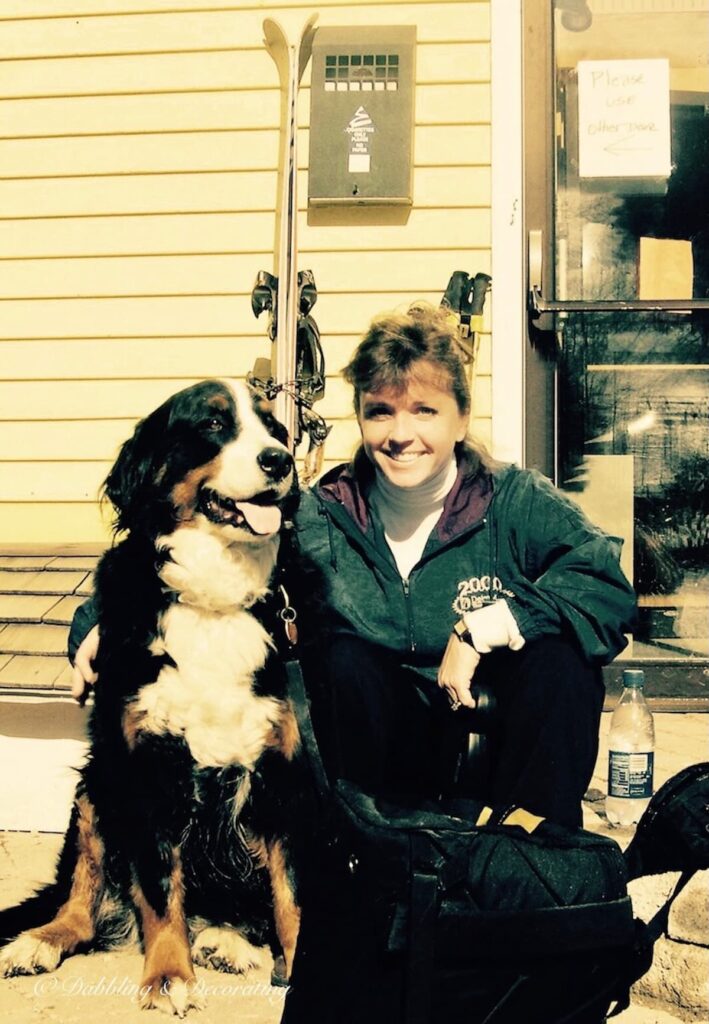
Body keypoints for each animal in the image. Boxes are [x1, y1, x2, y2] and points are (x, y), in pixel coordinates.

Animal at [0, 378, 315, 1015]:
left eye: (275, 427)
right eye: (214, 425)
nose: (280, 461)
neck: (214, 601)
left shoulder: (283, 769)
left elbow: (289, 890)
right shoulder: (145, 765)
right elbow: (161, 887)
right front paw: (168, 974)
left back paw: (227, 942)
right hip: (95, 787)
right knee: (84, 902)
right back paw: (41, 941)